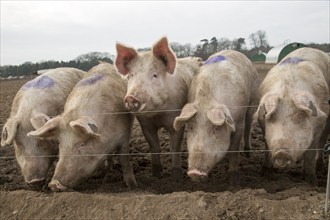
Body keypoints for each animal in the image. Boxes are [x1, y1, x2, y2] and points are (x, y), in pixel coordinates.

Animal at [26, 62, 138, 191]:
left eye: (82, 144)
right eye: (59, 142)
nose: (54, 184)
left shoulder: (124, 135)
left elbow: (125, 160)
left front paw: (133, 186)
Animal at [116, 36, 201, 180]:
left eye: (154, 75)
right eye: (131, 75)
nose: (130, 98)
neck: (158, 113)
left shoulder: (175, 118)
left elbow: (174, 148)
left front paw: (177, 178)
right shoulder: (145, 124)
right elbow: (154, 147)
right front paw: (155, 176)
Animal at [173, 50, 258, 183]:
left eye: (216, 128)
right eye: (191, 127)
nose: (194, 172)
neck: (207, 101)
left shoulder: (239, 122)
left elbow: (234, 150)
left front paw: (233, 180)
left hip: (253, 100)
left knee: (249, 125)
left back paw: (249, 154)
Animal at [255, 47, 330, 185]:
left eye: (300, 117)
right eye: (272, 117)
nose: (281, 153)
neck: (288, 89)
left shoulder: (320, 122)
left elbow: (310, 153)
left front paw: (311, 182)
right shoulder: (262, 122)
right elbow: (267, 146)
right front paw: (266, 174)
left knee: (322, 142)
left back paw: (320, 169)